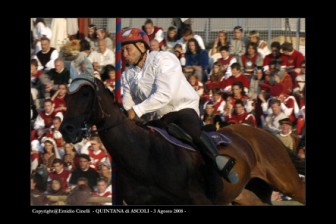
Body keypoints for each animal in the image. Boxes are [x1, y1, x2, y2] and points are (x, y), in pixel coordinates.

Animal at [60, 75, 304, 205]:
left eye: (86, 94)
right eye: (67, 97)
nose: (66, 129)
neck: (145, 155)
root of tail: (268, 136)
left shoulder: (198, 200)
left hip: (287, 182)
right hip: (249, 194)